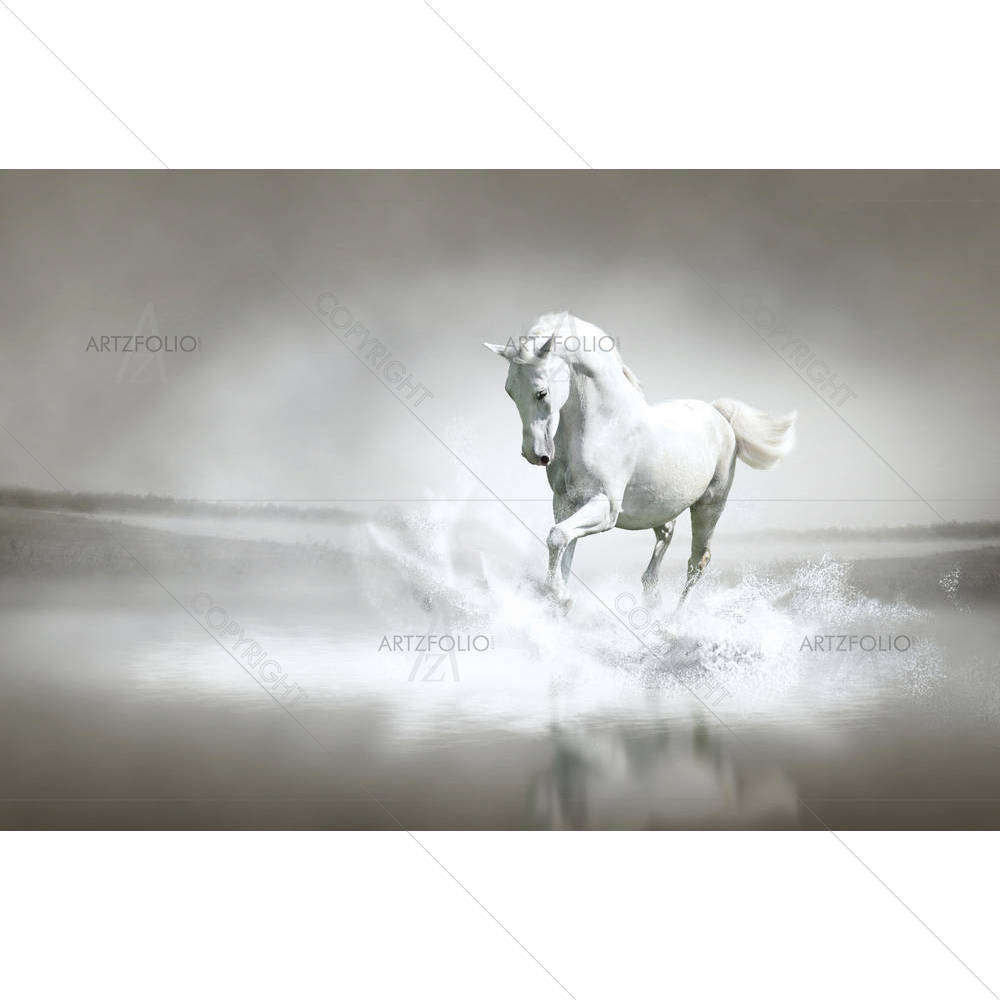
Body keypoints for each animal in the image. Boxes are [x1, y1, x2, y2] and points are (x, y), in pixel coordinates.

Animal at [484, 313, 796, 607]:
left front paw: (563, 597)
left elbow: (558, 537)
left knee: (697, 561)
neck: (603, 426)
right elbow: (562, 549)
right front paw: (558, 598)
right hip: (660, 505)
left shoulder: (605, 507)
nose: (534, 454)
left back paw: (672, 620)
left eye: (541, 392)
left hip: (709, 505)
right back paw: (651, 595)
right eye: (510, 392)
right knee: (667, 533)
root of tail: (718, 414)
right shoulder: (565, 503)